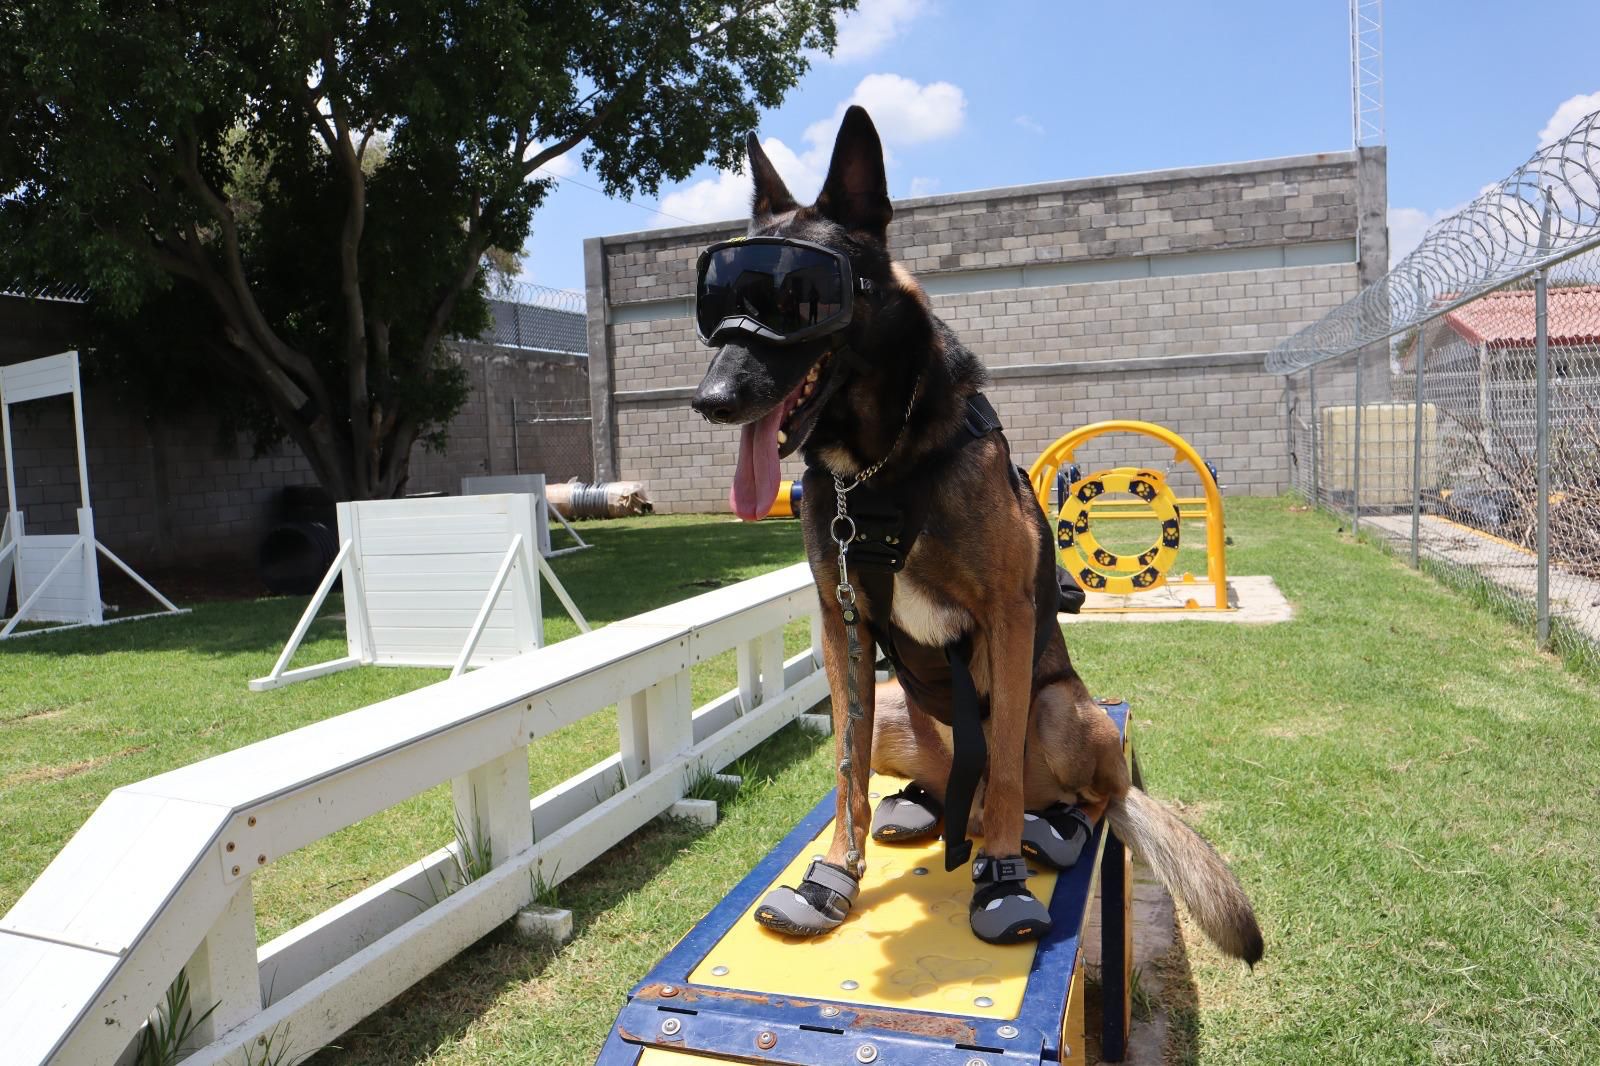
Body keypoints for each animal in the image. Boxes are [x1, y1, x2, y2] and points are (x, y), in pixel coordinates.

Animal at [688, 104, 1260, 953]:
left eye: (799, 296)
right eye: (718, 302)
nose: (711, 400)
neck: (879, 472)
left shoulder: (1007, 614)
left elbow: (1010, 786)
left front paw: (1000, 879)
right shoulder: (840, 623)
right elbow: (844, 772)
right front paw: (834, 876)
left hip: (1068, 715)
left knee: (1083, 794)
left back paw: (1050, 827)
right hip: (896, 706)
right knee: (924, 773)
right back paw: (922, 804)